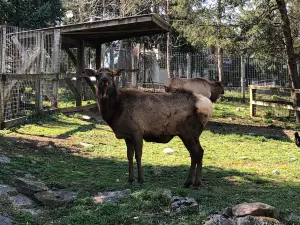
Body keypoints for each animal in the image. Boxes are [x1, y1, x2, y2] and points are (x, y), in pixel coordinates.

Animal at [85, 67, 213, 187]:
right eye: (97, 75)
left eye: (111, 74)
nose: (104, 80)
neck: (116, 112)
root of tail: (207, 105)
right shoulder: (128, 136)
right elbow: (129, 156)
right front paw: (130, 179)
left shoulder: (137, 131)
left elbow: (138, 155)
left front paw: (141, 179)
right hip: (189, 135)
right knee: (195, 153)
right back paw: (189, 182)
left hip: (190, 133)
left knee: (198, 152)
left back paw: (195, 182)